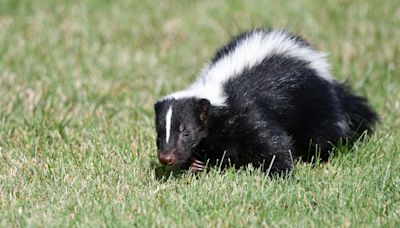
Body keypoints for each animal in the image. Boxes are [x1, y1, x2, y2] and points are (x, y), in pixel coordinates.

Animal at [153, 28, 378, 175]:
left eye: (186, 132)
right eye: (159, 134)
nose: (166, 157)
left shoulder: (249, 112)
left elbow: (273, 143)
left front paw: (281, 173)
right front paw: (196, 164)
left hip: (315, 103)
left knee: (320, 134)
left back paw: (317, 159)